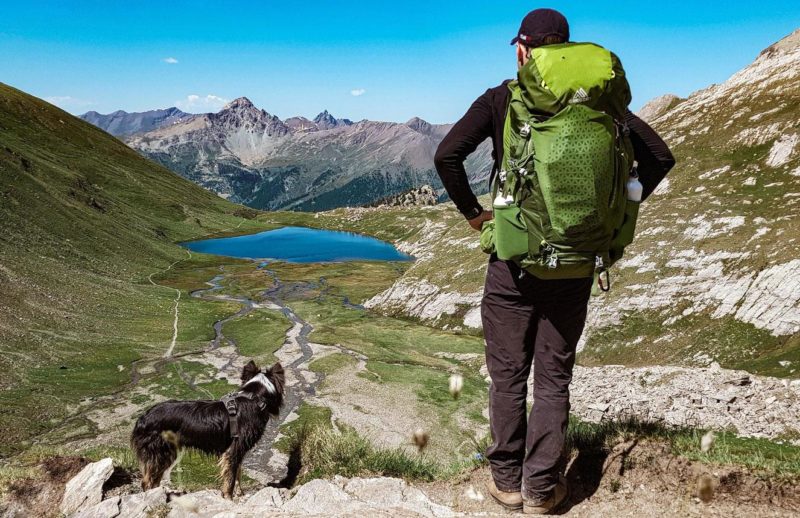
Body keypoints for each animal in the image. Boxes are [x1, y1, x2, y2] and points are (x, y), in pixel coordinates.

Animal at [130, 362, 282, 500]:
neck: (254, 398)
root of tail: (142, 418)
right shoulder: (233, 450)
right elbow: (230, 478)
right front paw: (228, 497)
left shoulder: (238, 451)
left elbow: (238, 473)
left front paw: (240, 494)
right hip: (162, 453)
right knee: (147, 482)